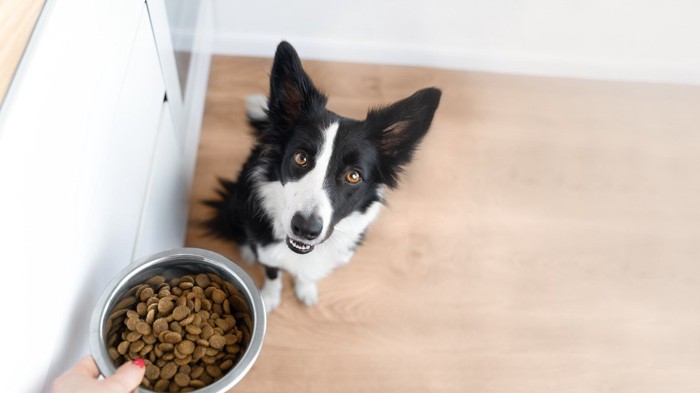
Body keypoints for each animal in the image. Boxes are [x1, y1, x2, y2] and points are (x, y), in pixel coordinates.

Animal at [205, 42, 440, 312]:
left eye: (353, 176)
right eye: (301, 158)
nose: (305, 229)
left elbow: (306, 275)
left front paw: (305, 289)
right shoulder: (267, 249)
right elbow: (272, 272)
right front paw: (269, 298)